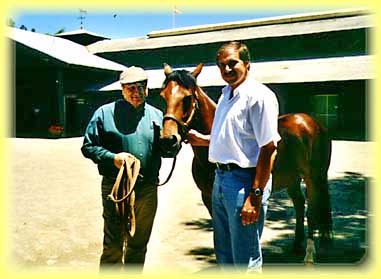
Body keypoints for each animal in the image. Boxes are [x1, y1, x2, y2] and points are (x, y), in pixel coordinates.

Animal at [157, 63, 332, 262]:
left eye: (187, 98)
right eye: (163, 96)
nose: (168, 141)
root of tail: (314, 123)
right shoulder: (208, 197)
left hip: (313, 179)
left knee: (312, 211)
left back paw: (309, 256)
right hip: (292, 179)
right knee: (299, 204)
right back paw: (297, 246)